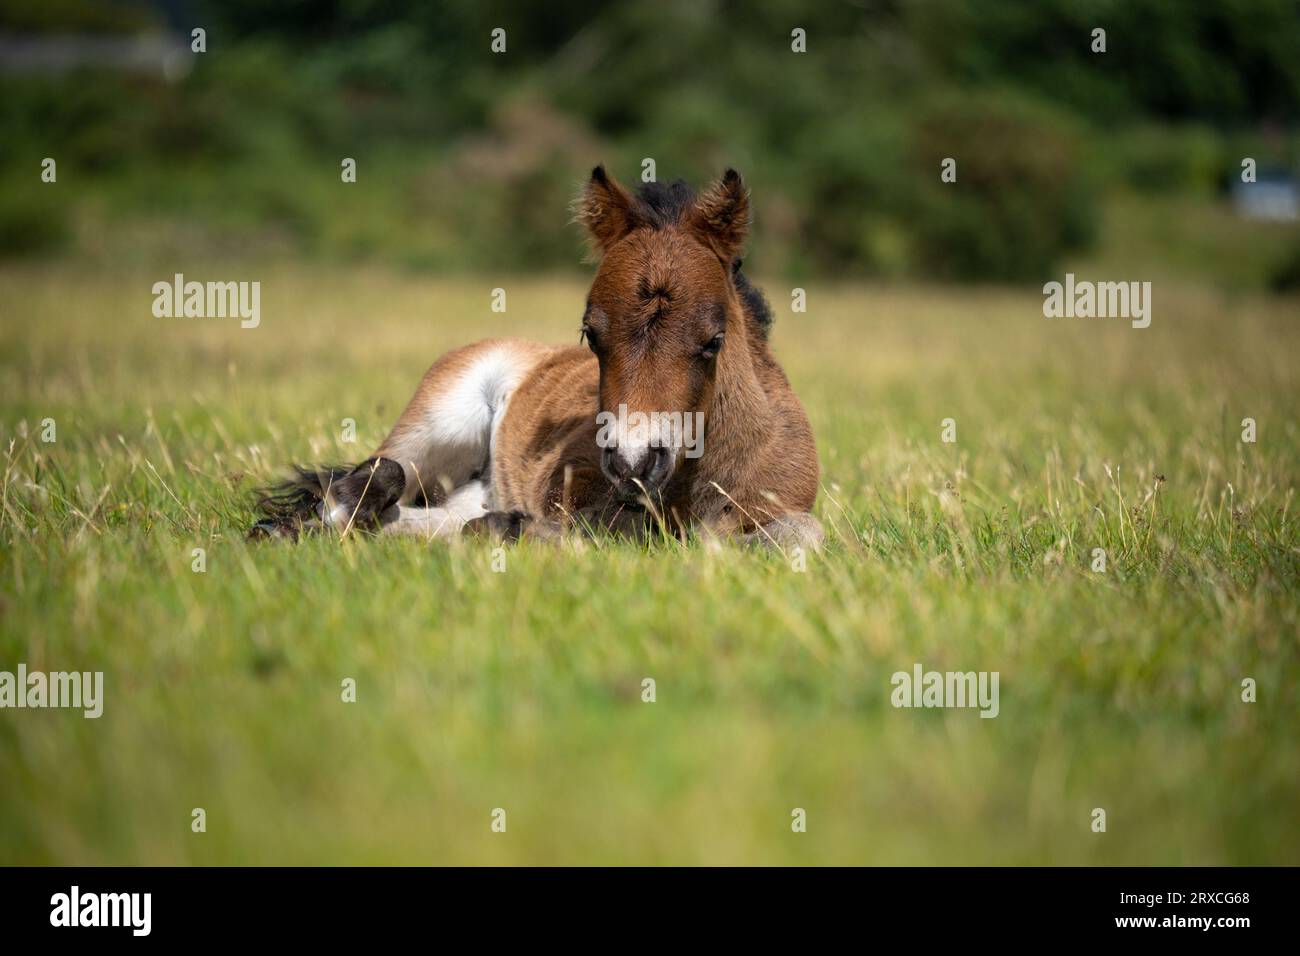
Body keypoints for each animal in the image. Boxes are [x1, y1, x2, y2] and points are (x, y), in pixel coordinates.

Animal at [251, 167, 822, 549]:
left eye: (713, 341)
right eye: (591, 335)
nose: (633, 464)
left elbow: (801, 534)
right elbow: (599, 532)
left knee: (414, 520)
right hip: (436, 428)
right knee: (380, 472)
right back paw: (290, 527)